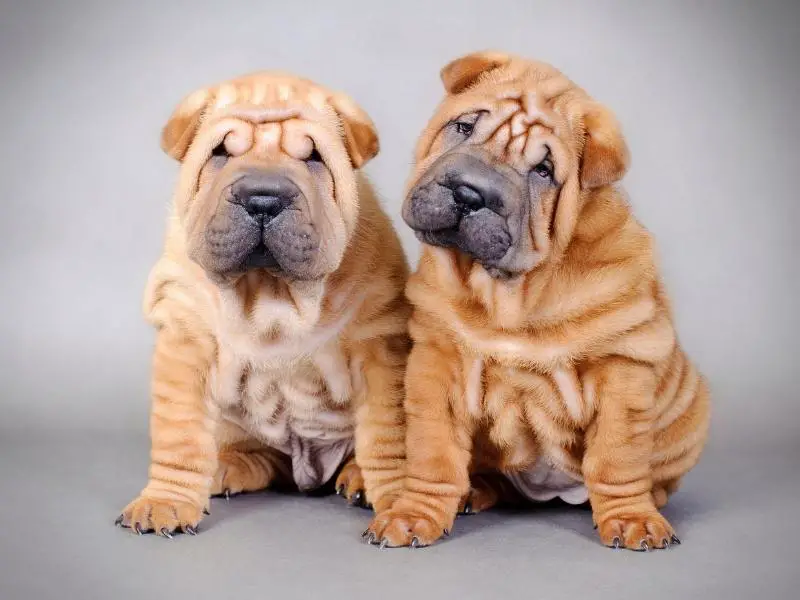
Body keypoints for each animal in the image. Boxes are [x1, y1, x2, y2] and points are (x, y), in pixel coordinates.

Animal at [115, 72, 410, 536]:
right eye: (220, 152)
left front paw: (399, 501)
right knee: (256, 454)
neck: (270, 295)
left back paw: (358, 479)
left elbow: (387, 436)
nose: (263, 199)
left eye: (313, 157)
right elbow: (179, 435)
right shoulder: (185, 330)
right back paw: (225, 468)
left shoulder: (378, 342)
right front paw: (165, 502)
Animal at [366, 52, 708, 552]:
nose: (469, 192)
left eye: (542, 171)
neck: (512, 295)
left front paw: (633, 520)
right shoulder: (437, 361)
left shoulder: (622, 366)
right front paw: (413, 516)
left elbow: (617, 458)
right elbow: (433, 454)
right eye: (464, 127)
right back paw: (474, 492)